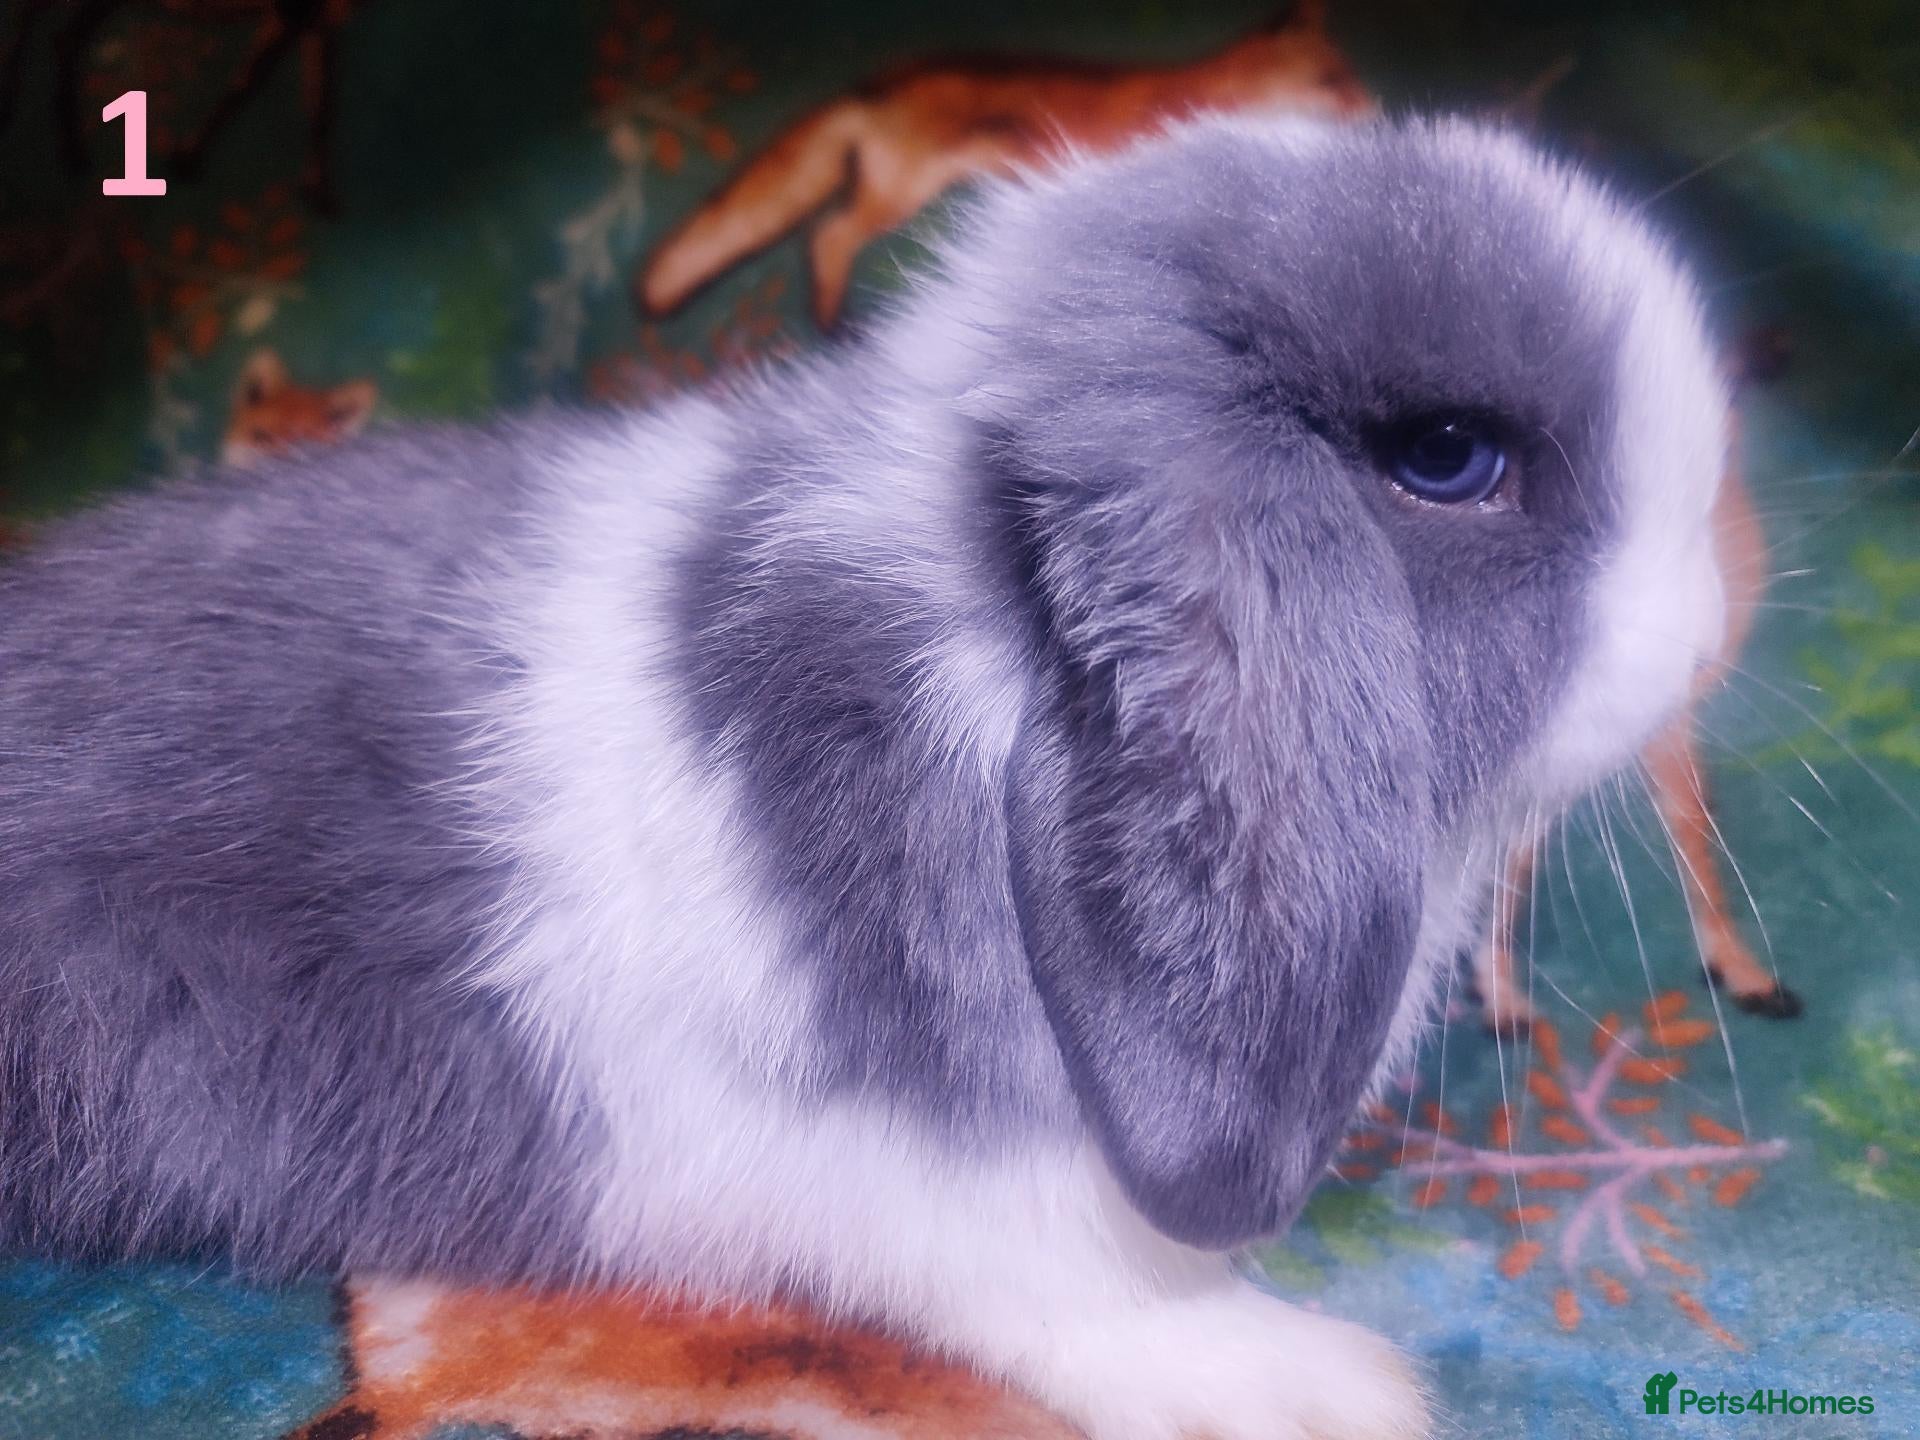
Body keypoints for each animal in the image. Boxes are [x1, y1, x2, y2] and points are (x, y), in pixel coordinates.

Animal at [0, 114, 1731, 1440]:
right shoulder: (923, 1173)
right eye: (1446, 458)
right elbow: (1062, 1282)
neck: (992, 645)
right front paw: (1306, 1384)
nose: (1713, 610)